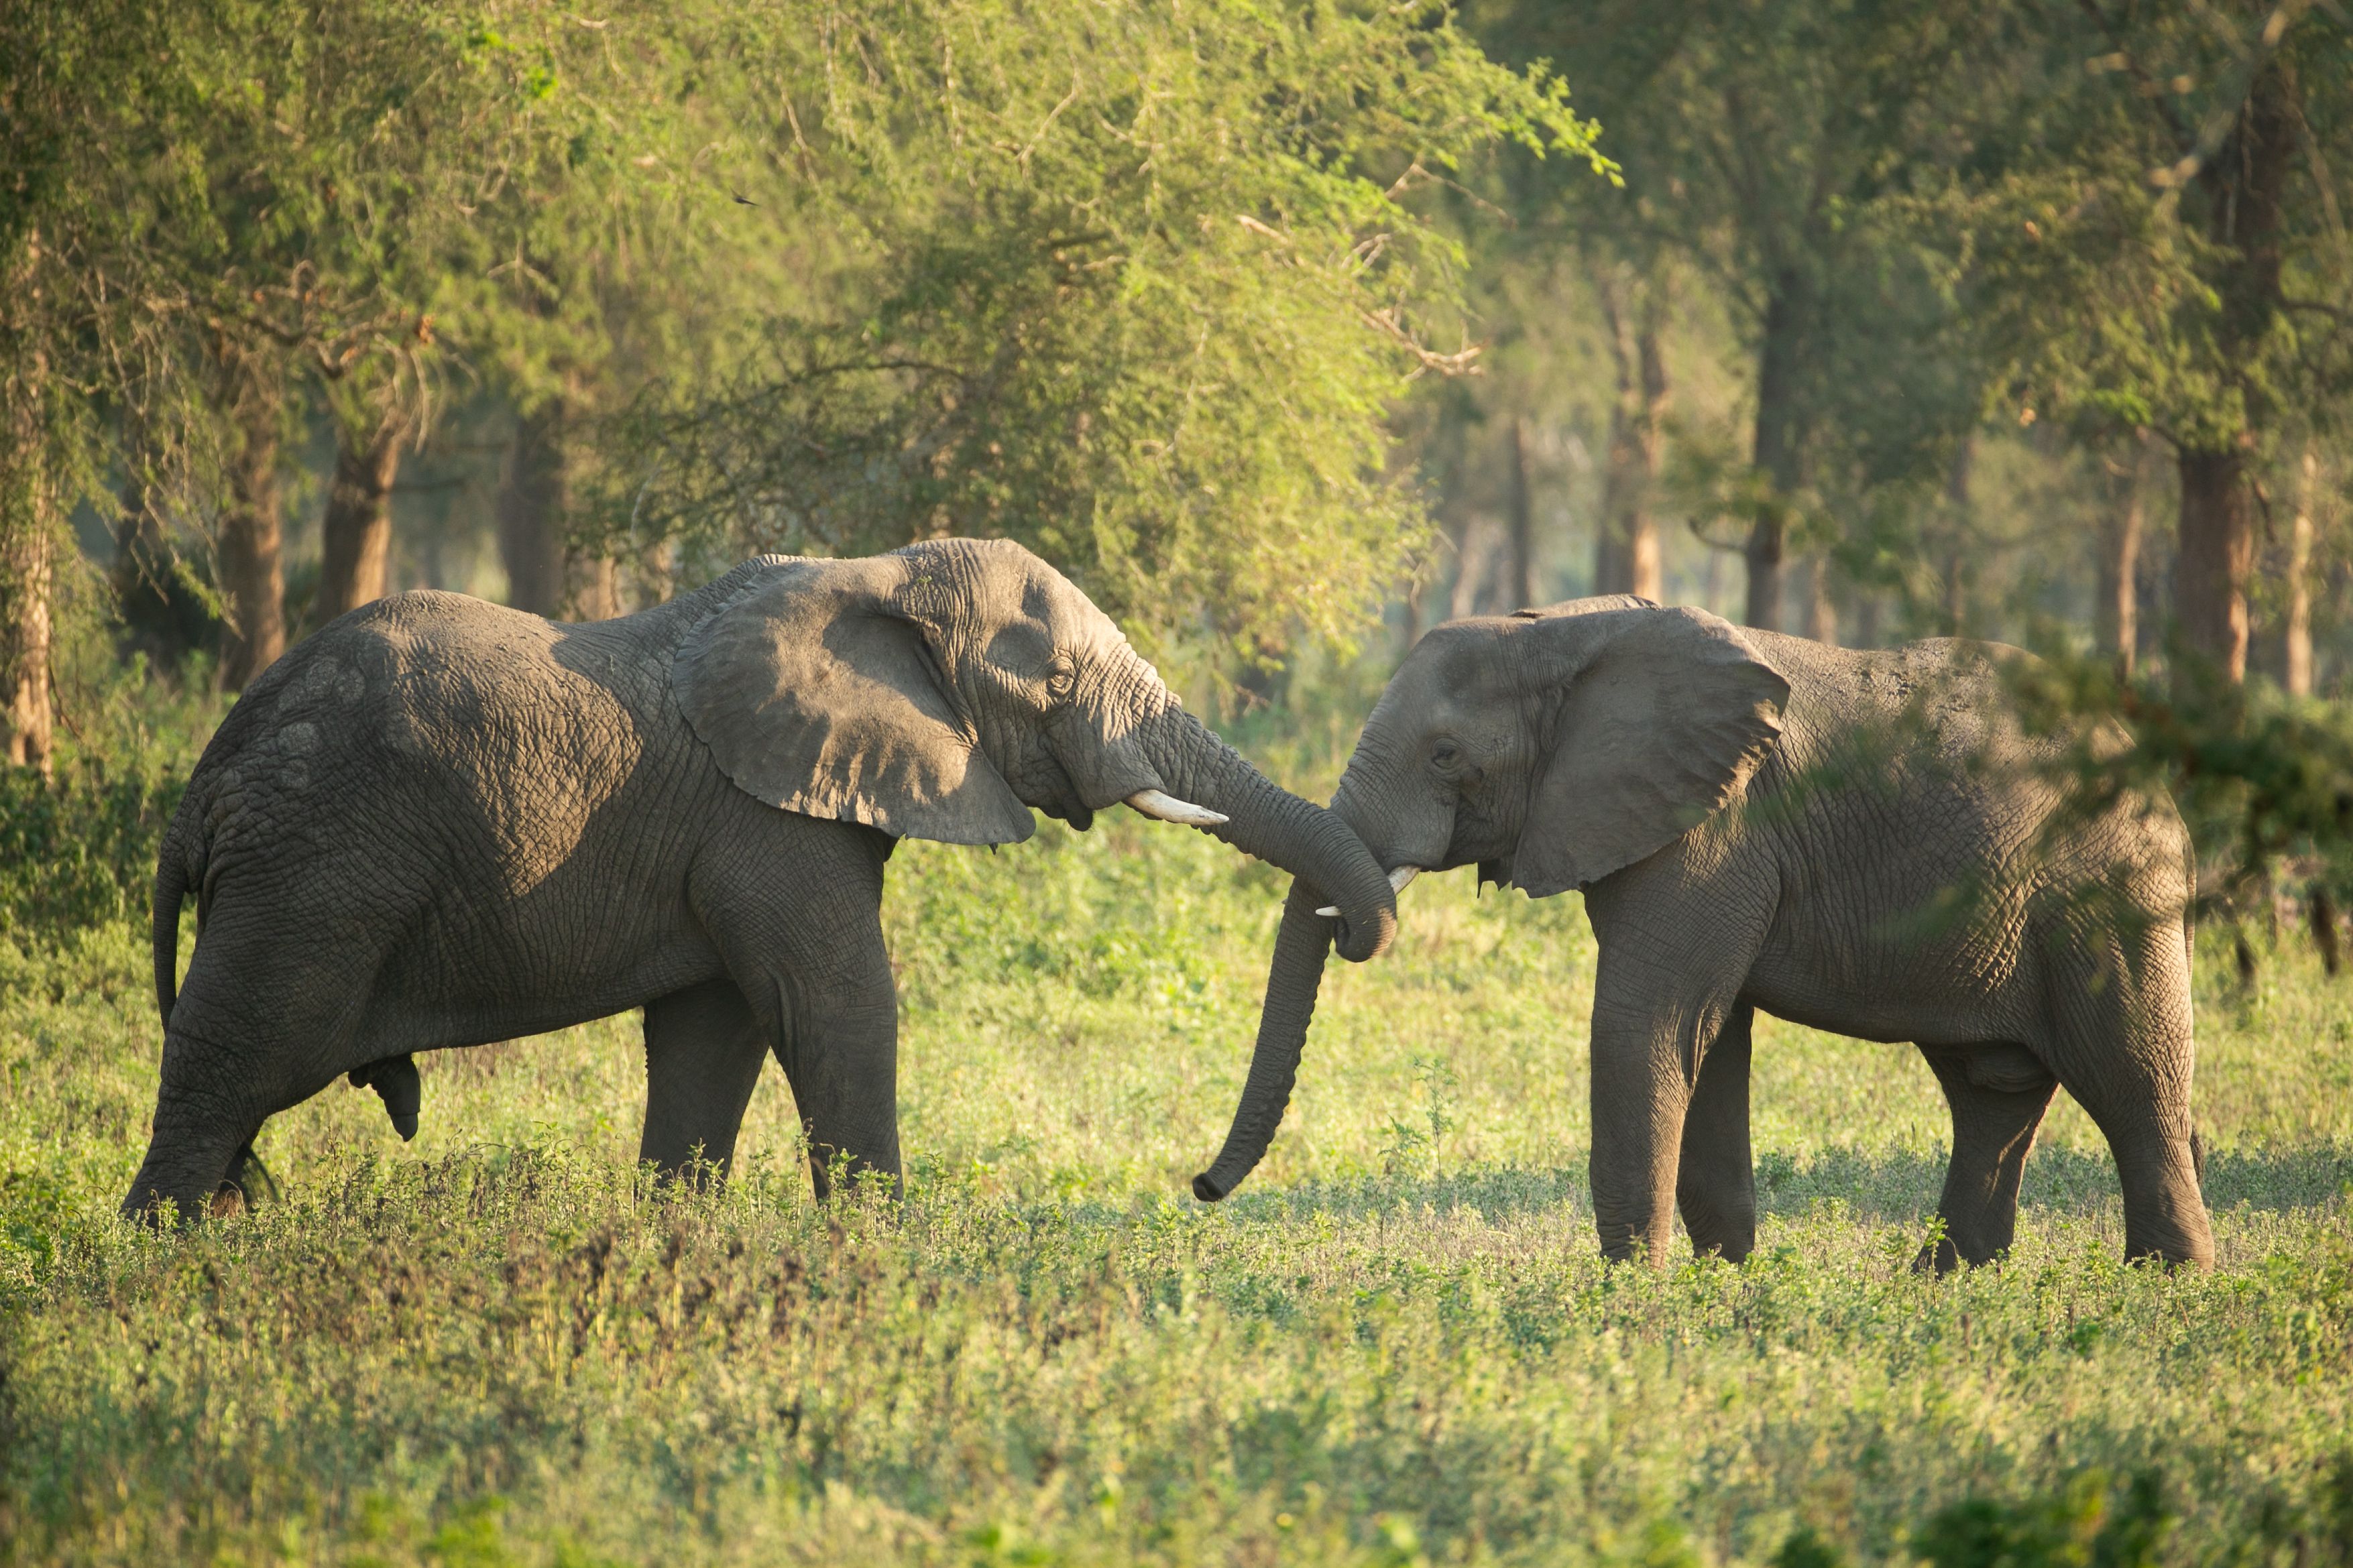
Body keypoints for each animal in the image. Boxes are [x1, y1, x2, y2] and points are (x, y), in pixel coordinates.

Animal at [129, 538, 1398, 1221]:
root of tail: (205, 782)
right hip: (315, 870)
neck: (871, 573)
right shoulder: (766, 817)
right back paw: (167, 1263)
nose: (1198, 1185)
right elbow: (837, 1002)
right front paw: (888, 1249)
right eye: (1056, 681)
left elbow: (714, 1033)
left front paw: (672, 1239)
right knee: (234, 1058)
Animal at [1191, 596, 2215, 1270]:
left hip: (2108, 892)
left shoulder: (1713, 830)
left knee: (2131, 1072)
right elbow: (1707, 1041)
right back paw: (1950, 1284)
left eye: (1446, 754)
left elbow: (1645, 1024)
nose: (1201, 1188)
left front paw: (1626, 1296)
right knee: (1991, 1090)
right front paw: (1721, 1283)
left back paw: (2162, 1284)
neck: (1562, 633)